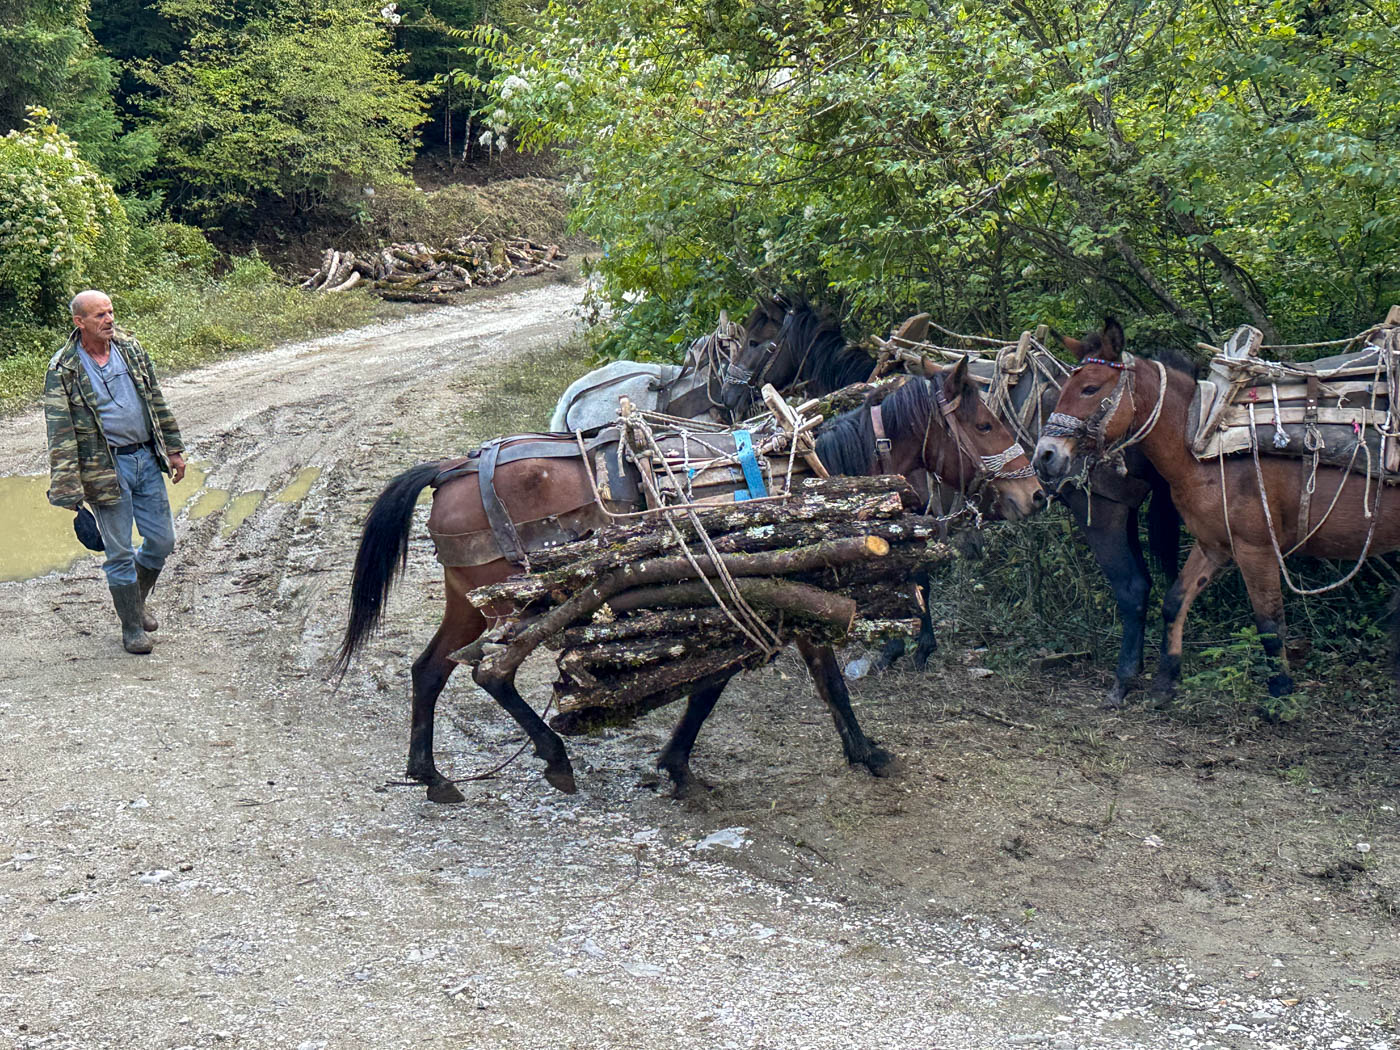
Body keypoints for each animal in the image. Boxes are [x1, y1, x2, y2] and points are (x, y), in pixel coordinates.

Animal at [336, 358, 1045, 803]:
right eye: (985, 424)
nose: (1036, 493)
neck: (813, 476)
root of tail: (452, 468)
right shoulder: (751, 595)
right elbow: (722, 685)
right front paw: (678, 763)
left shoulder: (790, 595)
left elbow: (820, 682)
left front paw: (861, 751)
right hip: (509, 606)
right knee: (491, 673)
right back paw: (553, 757)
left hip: (468, 600)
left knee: (430, 669)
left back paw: (431, 776)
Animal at [728, 303, 1182, 704]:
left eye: (754, 341)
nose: (727, 396)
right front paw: (918, 645)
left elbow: (913, 575)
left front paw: (900, 648)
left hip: (1103, 512)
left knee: (1132, 587)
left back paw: (1124, 680)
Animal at [1033, 318, 1400, 700]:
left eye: (1089, 388)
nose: (1045, 455)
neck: (1201, 439)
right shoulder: (1214, 545)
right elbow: (1175, 602)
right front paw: (1166, 681)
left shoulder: (1256, 549)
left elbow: (1270, 623)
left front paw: (1279, 693)